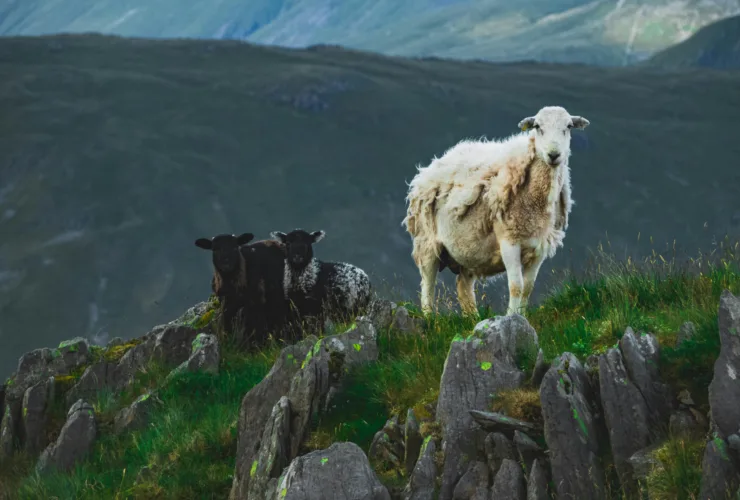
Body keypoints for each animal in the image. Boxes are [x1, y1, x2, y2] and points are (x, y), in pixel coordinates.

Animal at [398, 105, 588, 316]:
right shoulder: (509, 240)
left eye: (569, 127)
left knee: (463, 287)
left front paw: (522, 316)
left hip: (469, 251)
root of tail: (431, 167)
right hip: (427, 242)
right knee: (428, 285)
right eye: (538, 127)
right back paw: (430, 317)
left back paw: (473, 317)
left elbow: (528, 288)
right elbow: (516, 286)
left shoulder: (539, 247)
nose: (553, 155)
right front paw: (512, 317)